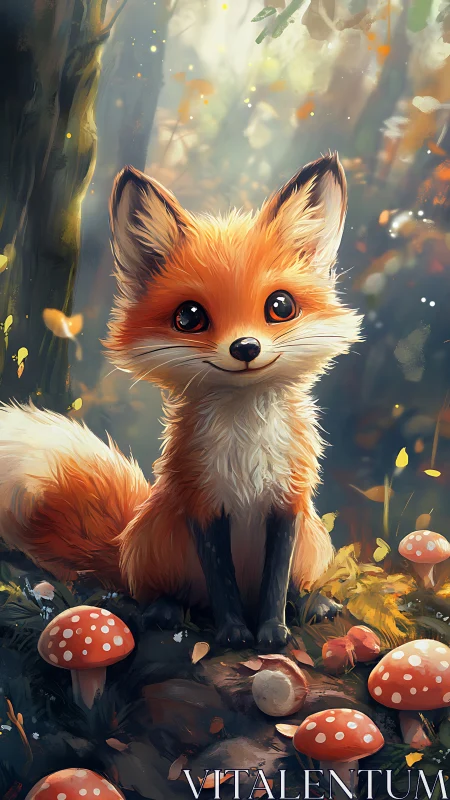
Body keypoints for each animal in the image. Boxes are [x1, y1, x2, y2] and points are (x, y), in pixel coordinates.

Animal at [0, 153, 362, 650]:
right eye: (189, 317)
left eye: (281, 306)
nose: (245, 348)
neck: (245, 447)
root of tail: (122, 543)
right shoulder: (201, 504)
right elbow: (222, 583)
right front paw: (234, 634)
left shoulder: (287, 503)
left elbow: (274, 582)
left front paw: (272, 631)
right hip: (159, 541)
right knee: (169, 594)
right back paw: (165, 611)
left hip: (313, 538)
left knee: (289, 584)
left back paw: (311, 603)